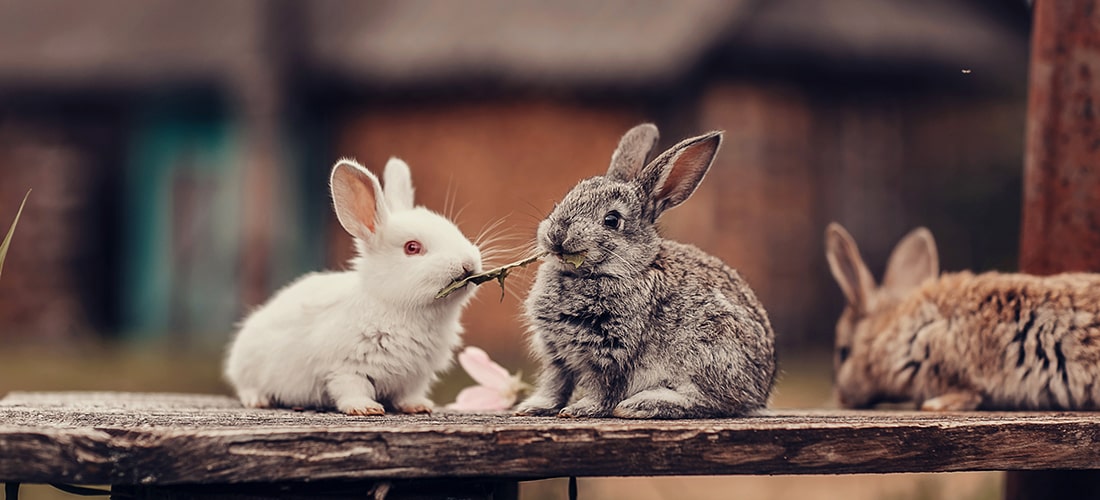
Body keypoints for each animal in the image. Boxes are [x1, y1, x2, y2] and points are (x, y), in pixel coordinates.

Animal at [224, 158, 481, 417]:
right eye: (412, 247)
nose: (468, 263)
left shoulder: (415, 376)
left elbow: (408, 394)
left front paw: (418, 406)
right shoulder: (345, 367)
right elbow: (352, 388)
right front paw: (365, 408)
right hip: (248, 366)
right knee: (247, 386)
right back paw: (258, 400)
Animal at [512, 124, 774, 419]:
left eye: (612, 220)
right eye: (562, 202)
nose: (557, 234)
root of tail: (759, 392)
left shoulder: (611, 353)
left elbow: (602, 388)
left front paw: (580, 410)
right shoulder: (556, 355)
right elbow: (555, 384)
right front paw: (533, 407)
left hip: (709, 350)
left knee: (712, 402)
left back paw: (641, 404)